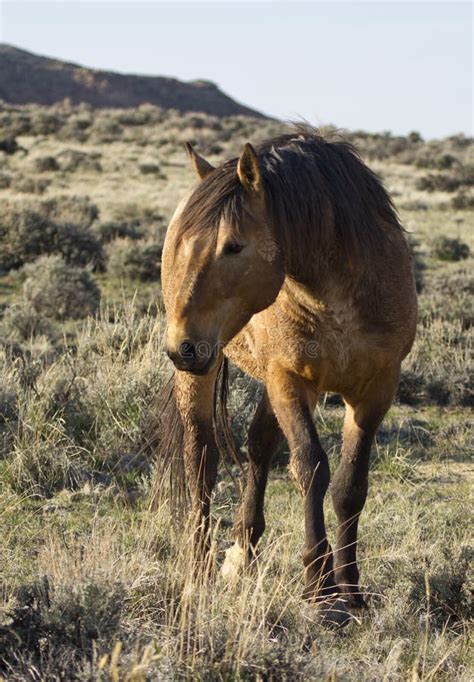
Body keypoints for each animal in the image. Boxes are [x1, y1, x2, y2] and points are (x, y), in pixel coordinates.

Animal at [158, 125, 414, 624]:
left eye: (233, 245)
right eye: (181, 244)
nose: (182, 346)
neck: (338, 298)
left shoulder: (375, 391)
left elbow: (350, 485)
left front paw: (352, 590)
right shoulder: (291, 381)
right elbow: (310, 467)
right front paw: (320, 588)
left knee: (258, 447)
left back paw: (242, 551)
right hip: (205, 370)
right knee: (202, 458)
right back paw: (199, 570)